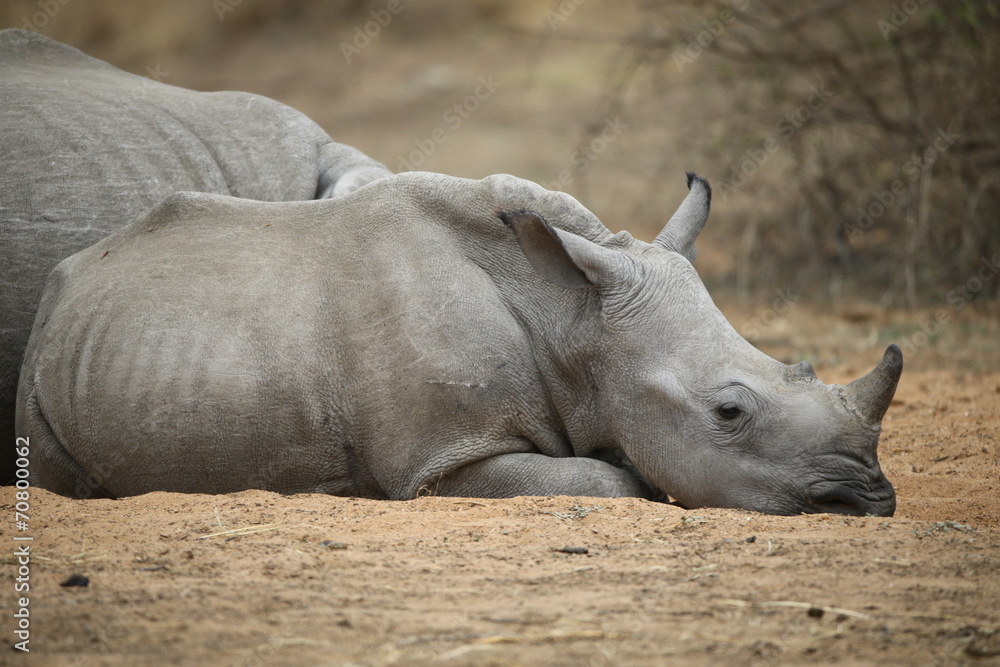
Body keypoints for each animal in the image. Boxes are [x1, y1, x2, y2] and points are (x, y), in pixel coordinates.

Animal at [17, 170, 901, 515]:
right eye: (729, 411)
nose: (870, 497)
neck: (574, 316)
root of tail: (73, 272)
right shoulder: (444, 459)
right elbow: (610, 481)